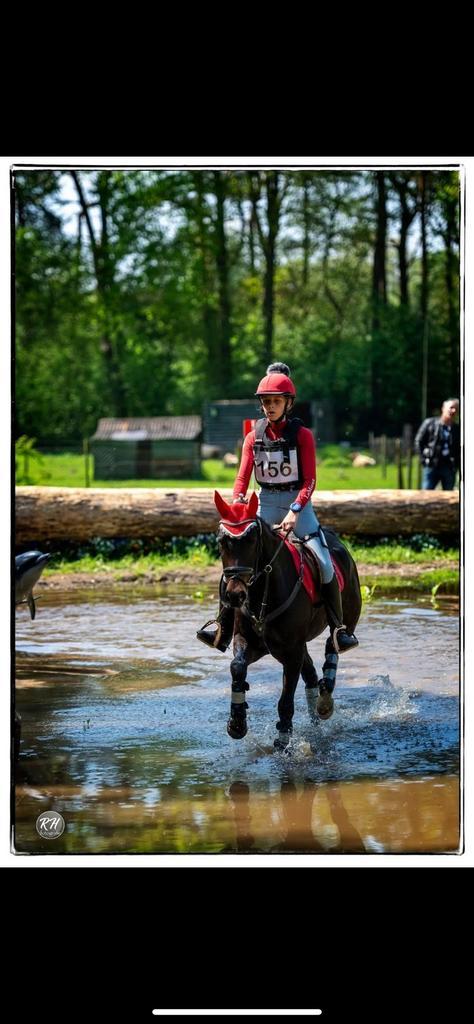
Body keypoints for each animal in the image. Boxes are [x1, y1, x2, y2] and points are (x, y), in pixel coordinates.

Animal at [214, 490, 362, 749]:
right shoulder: (248, 641)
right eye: (222, 542)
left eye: (251, 541)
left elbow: (286, 697)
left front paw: (284, 737)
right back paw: (317, 711)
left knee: (333, 644)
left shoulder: (291, 653)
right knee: (311, 673)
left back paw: (325, 699)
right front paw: (237, 723)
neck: (263, 592)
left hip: (347, 617)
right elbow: (237, 667)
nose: (235, 595)